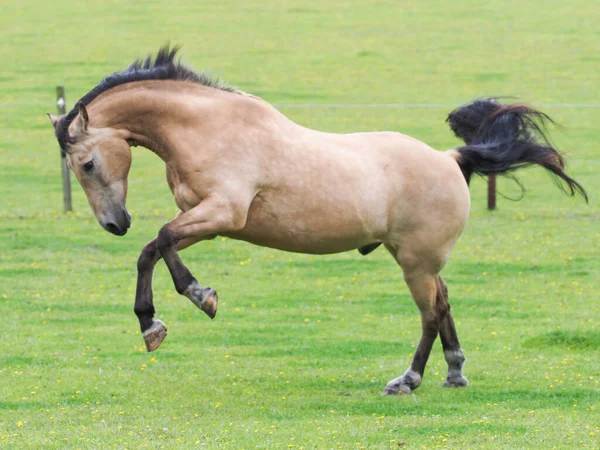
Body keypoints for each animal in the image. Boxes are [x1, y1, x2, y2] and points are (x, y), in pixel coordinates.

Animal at [48, 47, 584, 396]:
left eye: (87, 164)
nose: (115, 223)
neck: (209, 128)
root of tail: (451, 158)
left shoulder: (222, 211)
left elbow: (159, 242)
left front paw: (198, 298)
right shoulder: (208, 219)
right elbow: (154, 249)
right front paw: (153, 323)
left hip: (415, 263)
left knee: (431, 313)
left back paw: (407, 381)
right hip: (418, 260)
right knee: (445, 303)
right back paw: (454, 374)